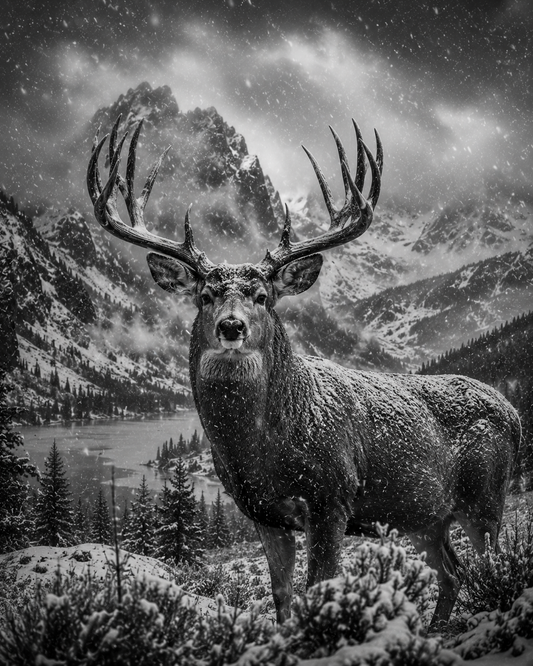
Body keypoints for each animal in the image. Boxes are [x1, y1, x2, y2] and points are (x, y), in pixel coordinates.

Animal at [87, 115, 521, 630]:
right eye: (205, 296)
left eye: (263, 296)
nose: (230, 326)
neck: (263, 450)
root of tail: (515, 414)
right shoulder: (264, 515)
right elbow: (282, 597)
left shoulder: (332, 499)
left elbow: (319, 588)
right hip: (423, 515)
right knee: (454, 572)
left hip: (485, 498)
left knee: (492, 566)